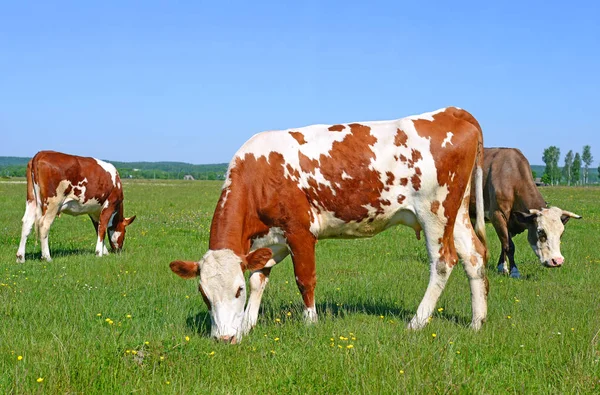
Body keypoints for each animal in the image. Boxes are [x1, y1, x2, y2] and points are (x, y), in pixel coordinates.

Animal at [171, 107, 490, 344]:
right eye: (204, 294)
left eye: (236, 291)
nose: (224, 339)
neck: (258, 174)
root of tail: (451, 111)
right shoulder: (270, 240)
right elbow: (258, 279)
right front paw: (248, 325)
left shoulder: (300, 232)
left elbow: (304, 279)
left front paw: (310, 323)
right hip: (457, 212)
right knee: (473, 256)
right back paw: (477, 322)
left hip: (435, 211)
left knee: (443, 262)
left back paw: (417, 322)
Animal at [468, 147, 580, 280]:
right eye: (540, 231)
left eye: (561, 233)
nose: (557, 261)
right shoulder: (497, 214)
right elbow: (509, 246)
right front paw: (514, 272)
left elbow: (504, 244)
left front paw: (502, 268)